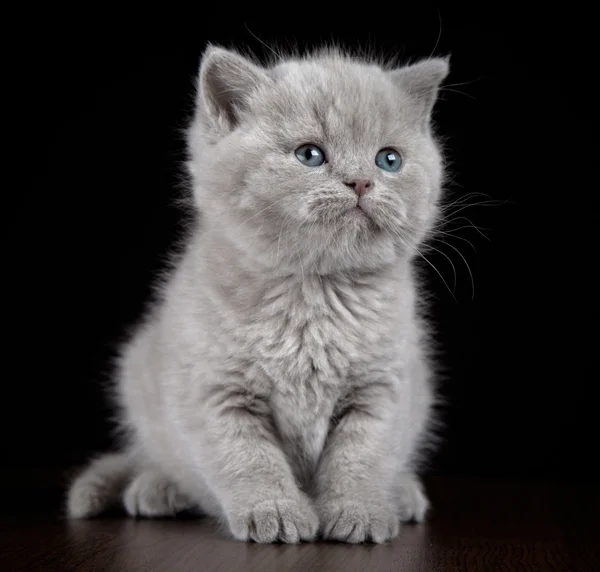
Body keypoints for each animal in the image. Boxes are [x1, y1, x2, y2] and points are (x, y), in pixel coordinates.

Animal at [65, 45, 450, 544]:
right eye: (310, 155)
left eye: (389, 160)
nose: (362, 181)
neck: (314, 295)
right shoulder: (217, 390)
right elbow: (249, 459)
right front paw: (276, 512)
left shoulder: (382, 388)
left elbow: (361, 457)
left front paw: (360, 511)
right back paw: (158, 488)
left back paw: (401, 494)